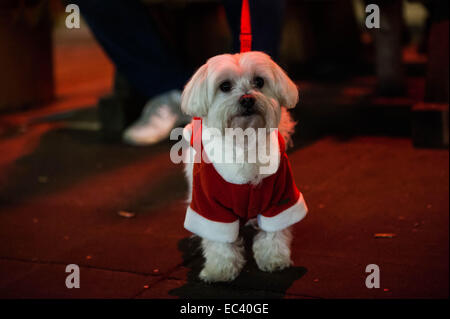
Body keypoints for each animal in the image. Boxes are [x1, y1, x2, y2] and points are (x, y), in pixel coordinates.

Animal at [181, 51, 308, 284]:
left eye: (259, 81)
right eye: (225, 86)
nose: (247, 98)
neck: (245, 141)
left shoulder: (280, 198)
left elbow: (273, 232)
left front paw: (274, 258)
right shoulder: (211, 207)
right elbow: (219, 241)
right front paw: (220, 270)